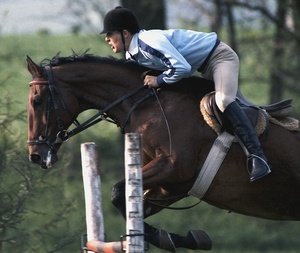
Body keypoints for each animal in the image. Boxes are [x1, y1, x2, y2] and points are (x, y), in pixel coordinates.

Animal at [27, 52, 300, 251]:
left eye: (37, 101)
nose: (36, 156)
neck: (146, 105)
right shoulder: (172, 186)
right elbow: (132, 204)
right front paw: (184, 239)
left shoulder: (173, 167)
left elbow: (118, 191)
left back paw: (259, 165)